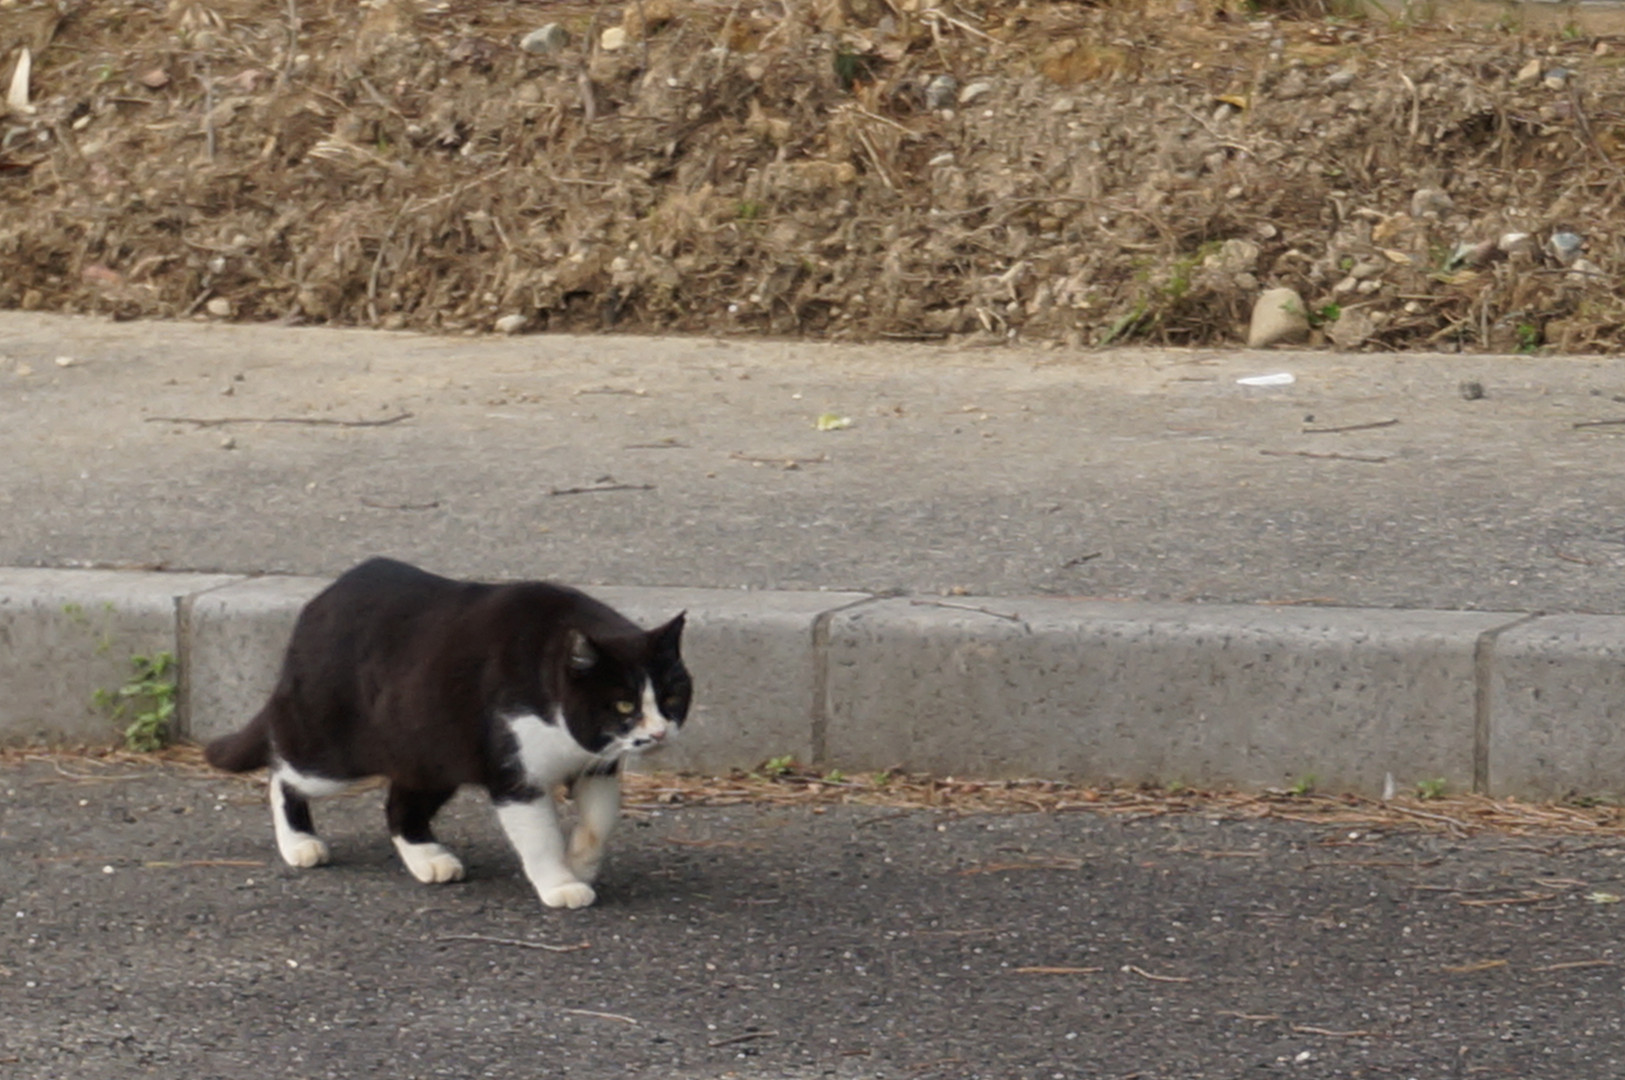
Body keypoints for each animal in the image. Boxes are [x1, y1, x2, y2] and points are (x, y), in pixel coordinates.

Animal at [204, 556, 691, 909]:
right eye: (624, 704)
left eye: (671, 696)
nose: (659, 733)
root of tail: (318, 603)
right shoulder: (514, 772)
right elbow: (540, 836)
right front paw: (559, 883)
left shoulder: (597, 764)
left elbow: (599, 822)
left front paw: (580, 863)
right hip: (330, 752)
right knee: (282, 771)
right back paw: (300, 842)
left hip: (430, 753)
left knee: (400, 804)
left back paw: (429, 858)